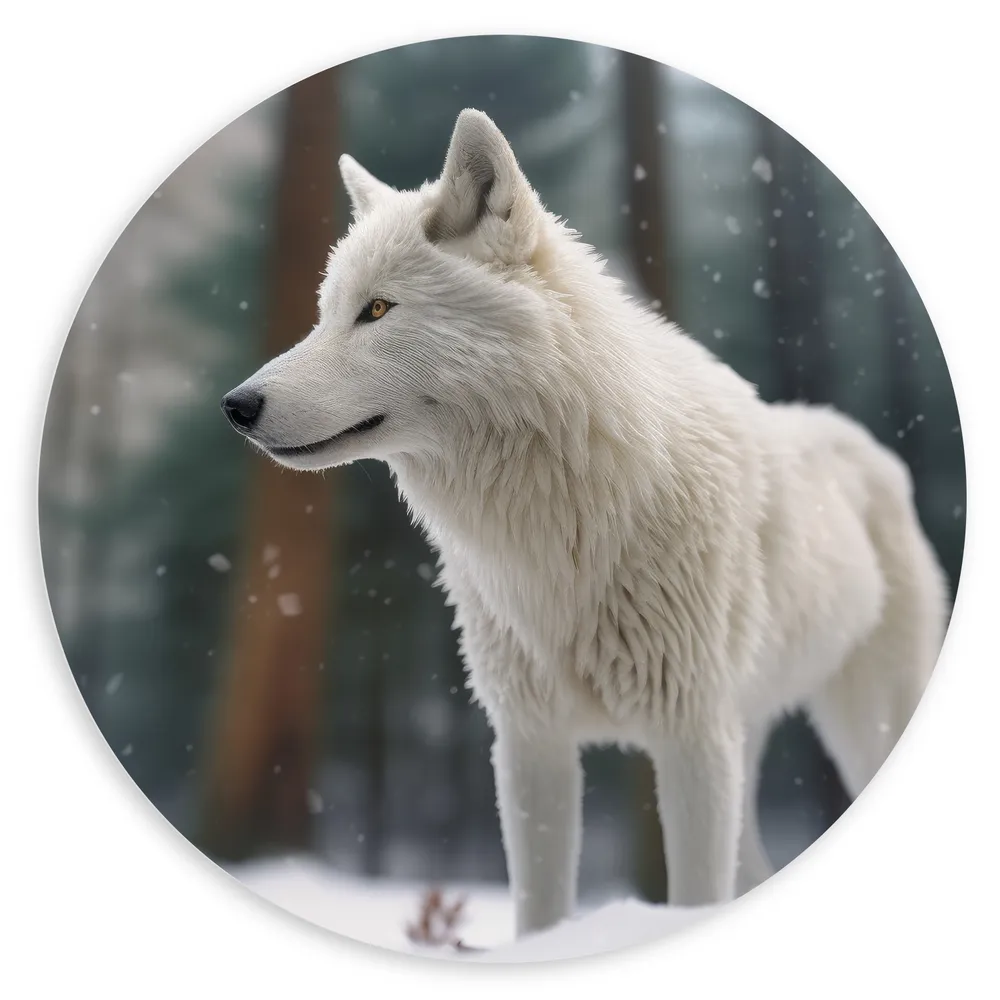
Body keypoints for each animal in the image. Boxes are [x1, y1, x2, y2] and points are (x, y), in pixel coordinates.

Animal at [222, 108, 950, 938]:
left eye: (376, 309)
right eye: (323, 314)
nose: (235, 406)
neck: (557, 528)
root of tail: (873, 452)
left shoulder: (690, 738)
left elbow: (691, 895)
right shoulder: (530, 744)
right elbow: (539, 913)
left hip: (857, 726)